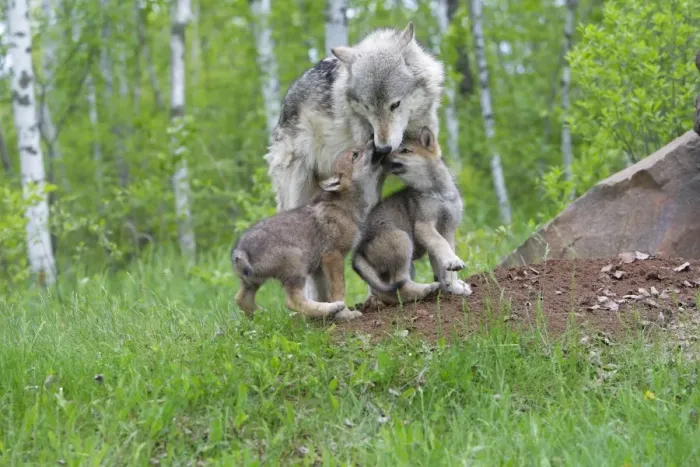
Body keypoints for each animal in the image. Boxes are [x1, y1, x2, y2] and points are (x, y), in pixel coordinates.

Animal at [232, 140, 385, 320]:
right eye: (355, 155)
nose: (374, 142)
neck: (345, 206)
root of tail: (239, 251)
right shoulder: (333, 255)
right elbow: (339, 289)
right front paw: (346, 314)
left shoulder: (319, 267)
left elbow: (325, 291)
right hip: (297, 264)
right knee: (292, 301)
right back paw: (332, 308)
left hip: (254, 281)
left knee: (241, 299)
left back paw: (264, 315)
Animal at [351, 127, 472, 305]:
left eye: (405, 151)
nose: (379, 157)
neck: (437, 193)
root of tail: (357, 253)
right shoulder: (424, 226)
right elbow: (441, 245)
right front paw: (453, 263)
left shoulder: (448, 229)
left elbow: (442, 263)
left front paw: (453, 286)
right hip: (402, 240)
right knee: (398, 287)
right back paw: (427, 289)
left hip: (406, 264)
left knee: (384, 289)